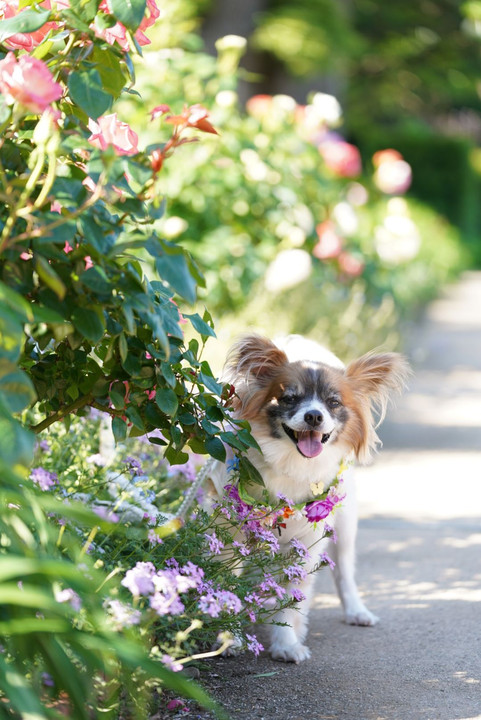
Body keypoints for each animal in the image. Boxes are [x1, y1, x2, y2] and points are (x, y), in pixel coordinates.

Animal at [207, 334, 408, 660]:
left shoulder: (306, 543)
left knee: (345, 573)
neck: (291, 462)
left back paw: (357, 611)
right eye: (289, 398)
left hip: (345, 525)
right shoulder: (229, 533)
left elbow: (291, 597)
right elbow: (228, 585)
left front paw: (287, 644)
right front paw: (230, 638)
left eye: (333, 403)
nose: (314, 415)